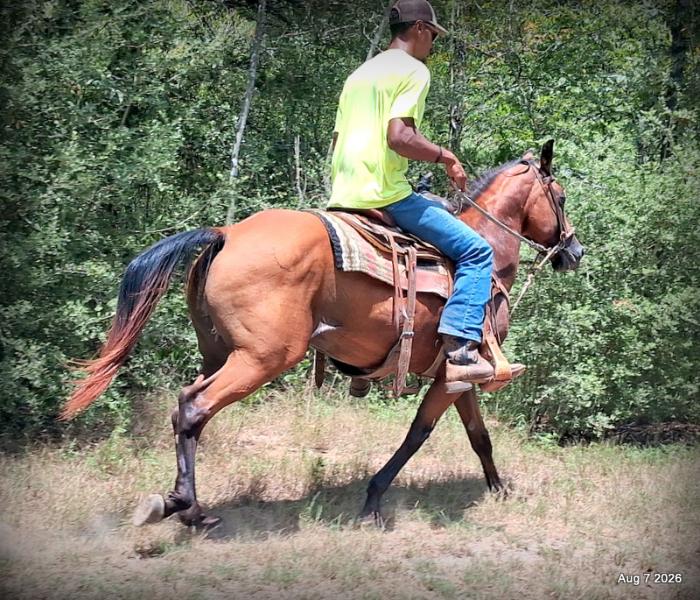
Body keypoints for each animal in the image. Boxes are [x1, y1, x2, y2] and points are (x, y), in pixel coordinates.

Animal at [63, 140, 584, 528]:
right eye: (559, 197)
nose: (573, 250)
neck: (489, 253)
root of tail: (226, 234)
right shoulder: (454, 374)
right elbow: (419, 434)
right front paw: (373, 500)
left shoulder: (457, 376)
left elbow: (479, 437)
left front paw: (498, 488)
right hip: (263, 358)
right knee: (194, 408)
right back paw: (188, 510)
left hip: (219, 353)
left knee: (184, 407)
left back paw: (178, 503)